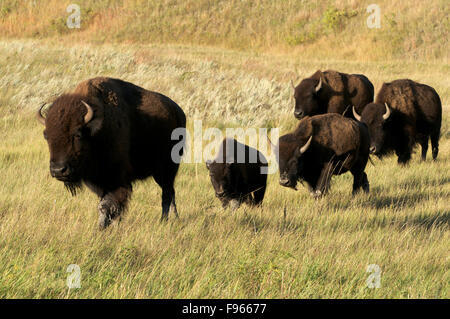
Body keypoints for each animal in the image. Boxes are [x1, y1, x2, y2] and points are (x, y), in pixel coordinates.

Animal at [37, 77, 186, 228]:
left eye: (78, 134)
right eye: (46, 135)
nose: (58, 170)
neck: (97, 131)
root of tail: (178, 111)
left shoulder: (117, 180)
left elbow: (107, 205)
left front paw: (102, 228)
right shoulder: (100, 182)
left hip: (167, 169)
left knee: (167, 193)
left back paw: (164, 220)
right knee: (170, 193)